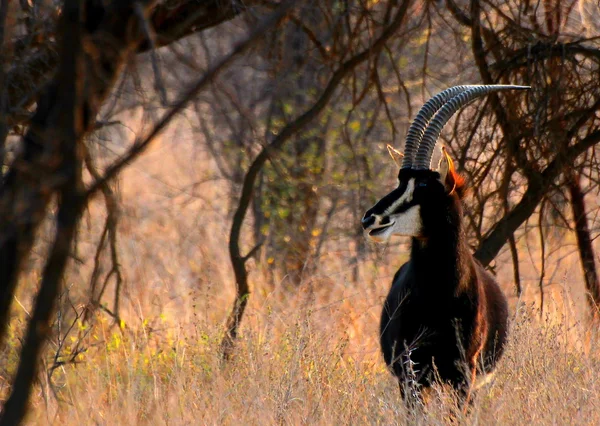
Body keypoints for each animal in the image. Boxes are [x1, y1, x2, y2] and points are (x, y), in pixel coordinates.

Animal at [358, 85, 528, 404]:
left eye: (424, 186)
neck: (439, 293)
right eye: (401, 180)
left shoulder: (464, 373)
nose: (369, 219)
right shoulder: (409, 372)